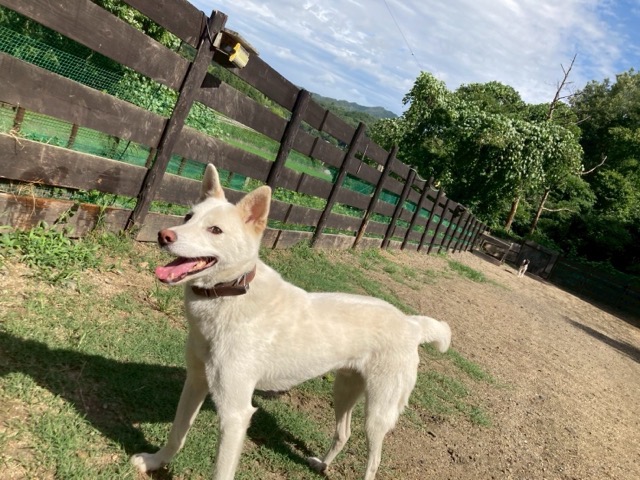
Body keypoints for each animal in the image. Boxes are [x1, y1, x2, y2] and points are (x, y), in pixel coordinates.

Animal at [130, 164, 452, 480]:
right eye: (188, 217)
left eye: (215, 230)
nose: (163, 235)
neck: (230, 294)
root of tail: (412, 323)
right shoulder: (196, 381)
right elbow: (177, 434)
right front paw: (154, 462)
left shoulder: (236, 413)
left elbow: (221, 471)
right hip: (344, 390)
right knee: (343, 433)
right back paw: (321, 465)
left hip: (378, 413)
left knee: (374, 460)